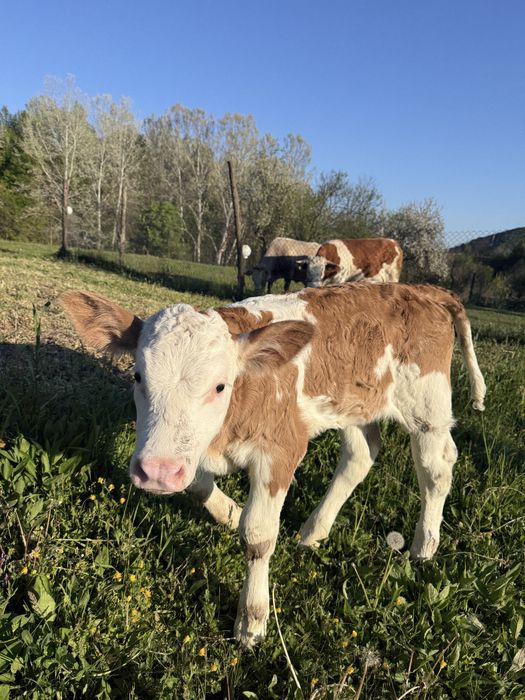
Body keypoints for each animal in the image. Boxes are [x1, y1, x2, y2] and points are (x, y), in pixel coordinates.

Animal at [62, 283, 486, 648]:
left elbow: (258, 535)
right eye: (137, 376)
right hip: (353, 402)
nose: (157, 472)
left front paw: (252, 619)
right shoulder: (190, 453)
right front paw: (230, 512)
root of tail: (421, 289)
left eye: (220, 386)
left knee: (436, 469)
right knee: (361, 454)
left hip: (427, 405)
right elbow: (198, 485)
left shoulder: (282, 447)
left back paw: (423, 547)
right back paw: (313, 532)